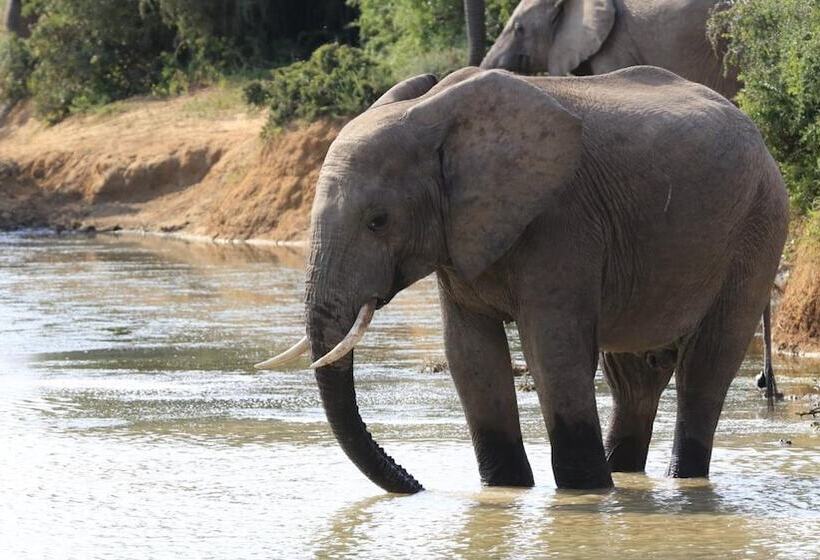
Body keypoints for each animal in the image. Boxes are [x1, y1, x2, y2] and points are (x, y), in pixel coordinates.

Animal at [257, 66, 788, 493]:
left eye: (378, 222)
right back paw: (624, 474)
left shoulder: (561, 222)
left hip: (757, 228)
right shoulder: (461, 239)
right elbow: (471, 355)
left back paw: (676, 479)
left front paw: (583, 494)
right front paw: (507, 490)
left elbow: (552, 354)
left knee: (706, 364)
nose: (417, 485)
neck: (440, 116)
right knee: (637, 374)